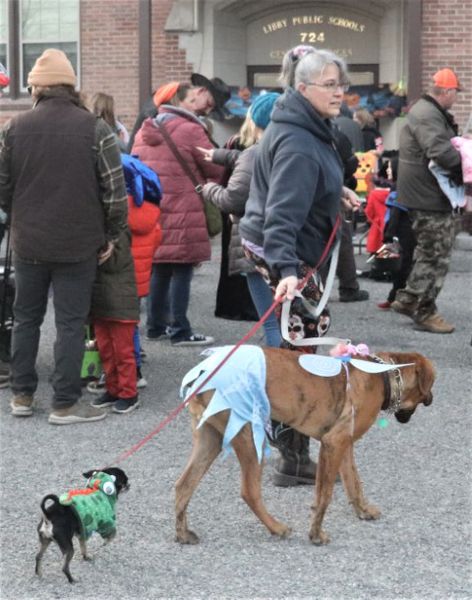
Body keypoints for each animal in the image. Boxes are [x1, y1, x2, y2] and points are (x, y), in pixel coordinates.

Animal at [176, 346, 436, 544]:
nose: (432, 400)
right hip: (248, 436)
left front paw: (362, 510)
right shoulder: (334, 444)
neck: (382, 375)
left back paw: (182, 534)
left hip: (210, 439)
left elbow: (354, 483)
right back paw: (276, 527)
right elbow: (325, 495)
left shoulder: (344, 445)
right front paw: (316, 534)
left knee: (183, 485)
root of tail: (202, 372)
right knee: (249, 491)